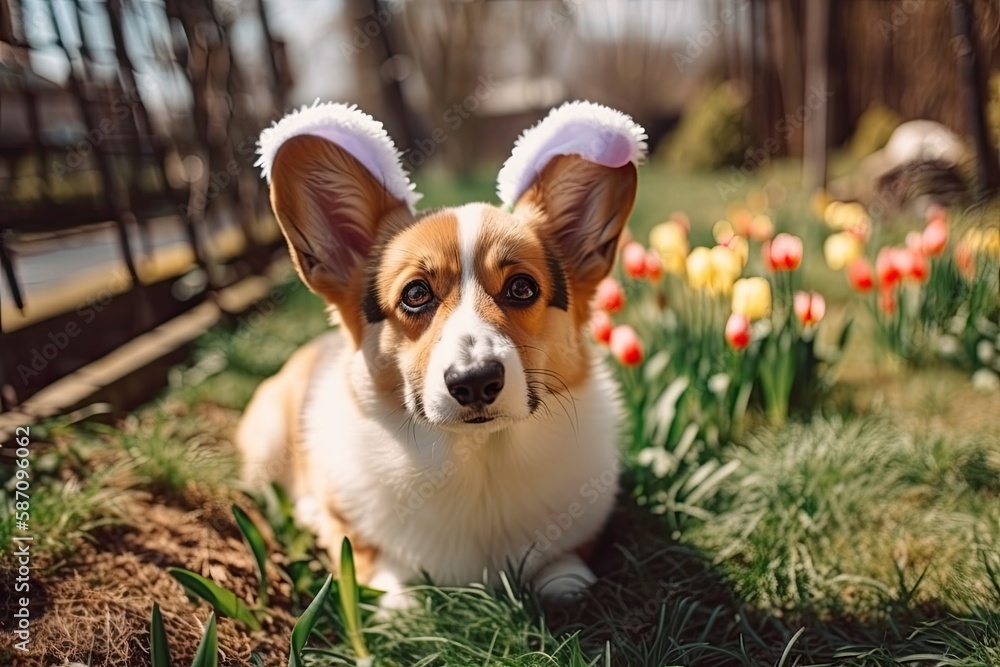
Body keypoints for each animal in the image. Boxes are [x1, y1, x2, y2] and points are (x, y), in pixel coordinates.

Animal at [236, 100, 648, 604]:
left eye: (522, 288)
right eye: (416, 294)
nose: (475, 382)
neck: (478, 460)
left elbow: (565, 564)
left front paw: (566, 580)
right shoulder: (352, 528)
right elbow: (376, 567)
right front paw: (399, 601)